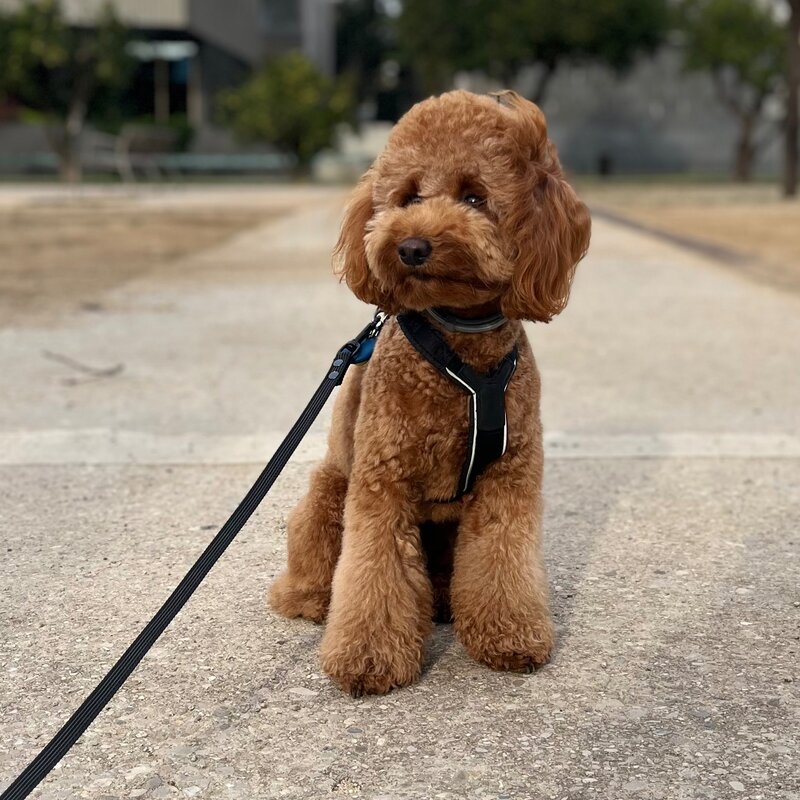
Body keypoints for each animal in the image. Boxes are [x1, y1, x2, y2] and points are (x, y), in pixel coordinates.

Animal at [270, 89, 590, 696]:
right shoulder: (382, 482)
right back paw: (306, 597)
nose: (412, 246)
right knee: (318, 552)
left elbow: (501, 560)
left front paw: (510, 636)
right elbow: (374, 571)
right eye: (408, 196)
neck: (460, 351)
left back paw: (442, 603)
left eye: (475, 196)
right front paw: (367, 658)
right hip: (329, 490)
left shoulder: (508, 480)